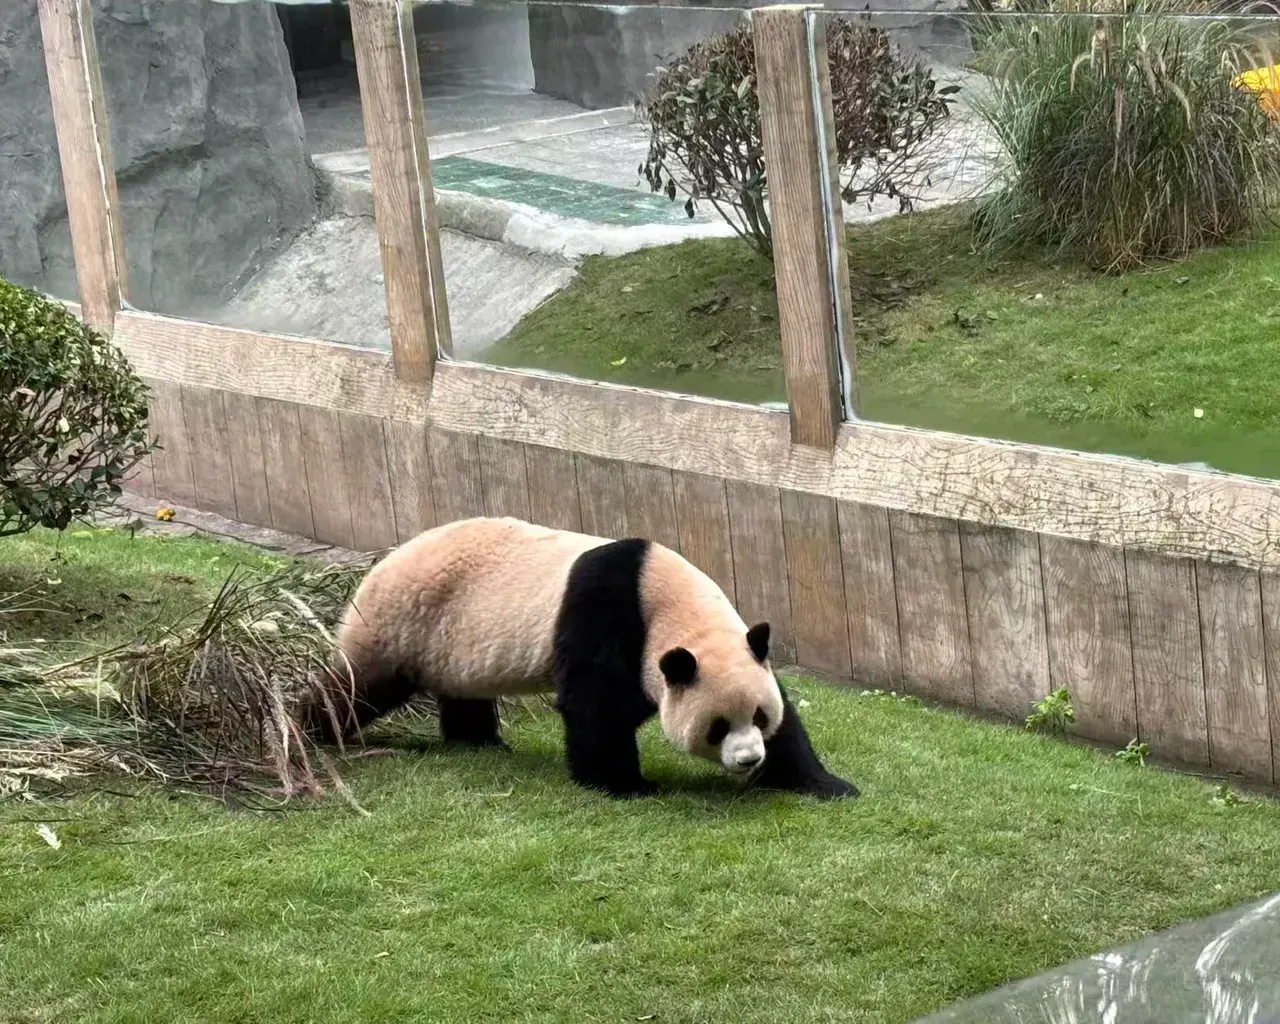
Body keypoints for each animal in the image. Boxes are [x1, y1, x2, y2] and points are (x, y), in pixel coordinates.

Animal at [311, 516, 857, 800]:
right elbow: (596, 706)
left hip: (453, 640)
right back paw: (316, 731)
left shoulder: (738, 646)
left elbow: (788, 720)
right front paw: (626, 785)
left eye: (758, 717)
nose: (748, 760)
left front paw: (824, 783)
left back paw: (481, 742)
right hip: (402, 624)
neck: (666, 601)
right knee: (357, 687)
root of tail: (378, 567)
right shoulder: (606, 611)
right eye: (718, 726)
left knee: (463, 692)